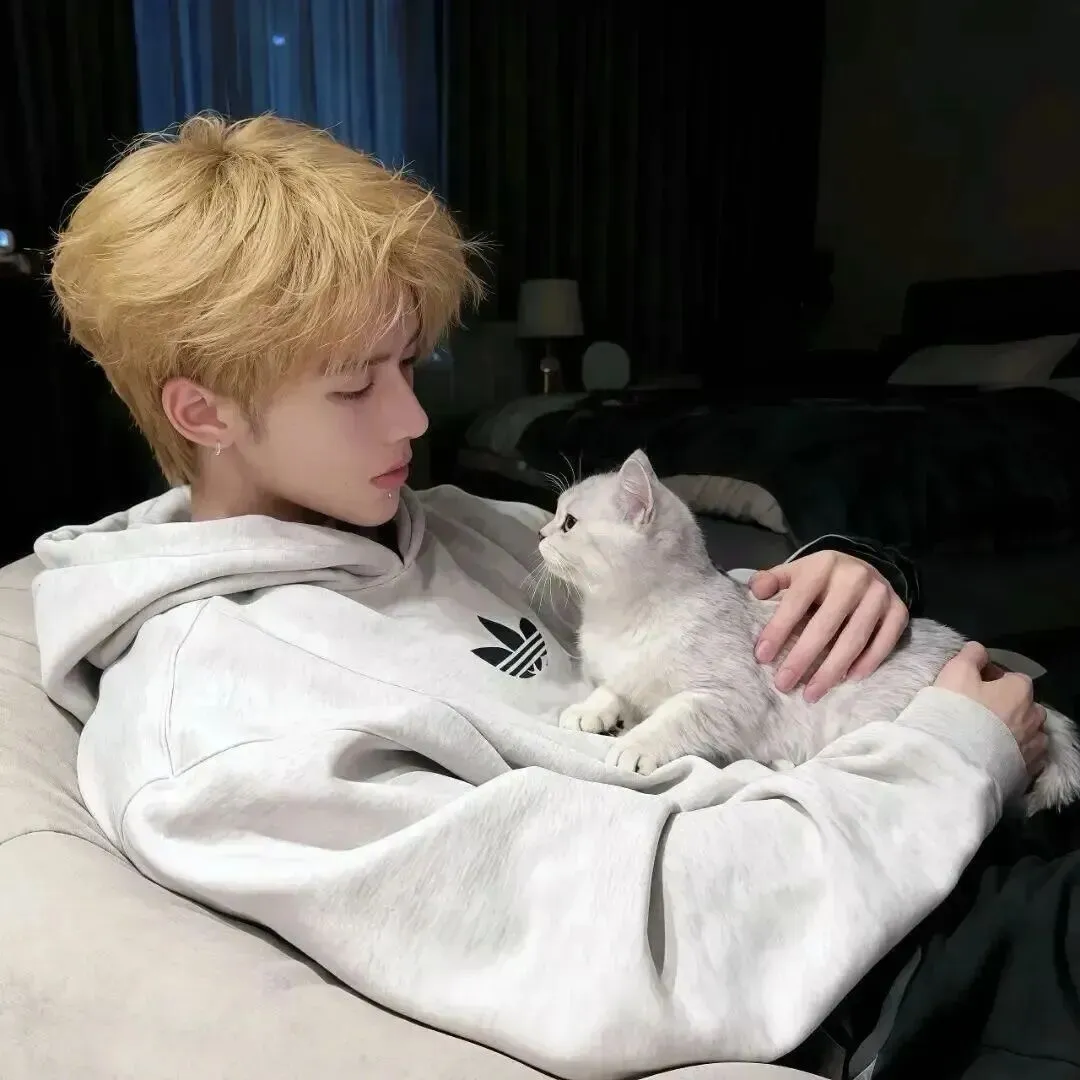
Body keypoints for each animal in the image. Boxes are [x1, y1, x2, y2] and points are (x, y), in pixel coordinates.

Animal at [537, 448, 1080, 814]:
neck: (620, 616)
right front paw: (592, 708)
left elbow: (672, 717)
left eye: (569, 523)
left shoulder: (726, 697)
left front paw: (636, 743)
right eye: (556, 515)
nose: (541, 534)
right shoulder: (627, 672)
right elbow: (615, 687)